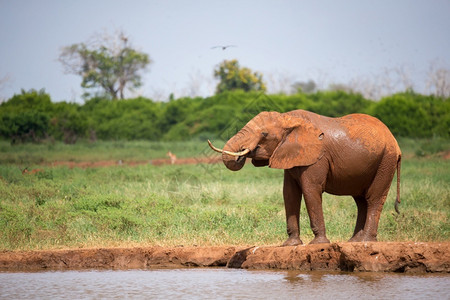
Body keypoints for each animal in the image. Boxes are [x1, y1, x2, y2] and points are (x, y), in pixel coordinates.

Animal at [209, 109, 402, 245]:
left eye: (264, 134)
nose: (242, 153)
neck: (287, 118)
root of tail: (396, 144)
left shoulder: (317, 157)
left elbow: (310, 189)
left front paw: (318, 243)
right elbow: (289, 193)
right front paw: (290, 244)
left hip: (386, 161)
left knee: (374, 198)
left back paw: (366, 241)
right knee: (361, 200)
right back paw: (354, 241)